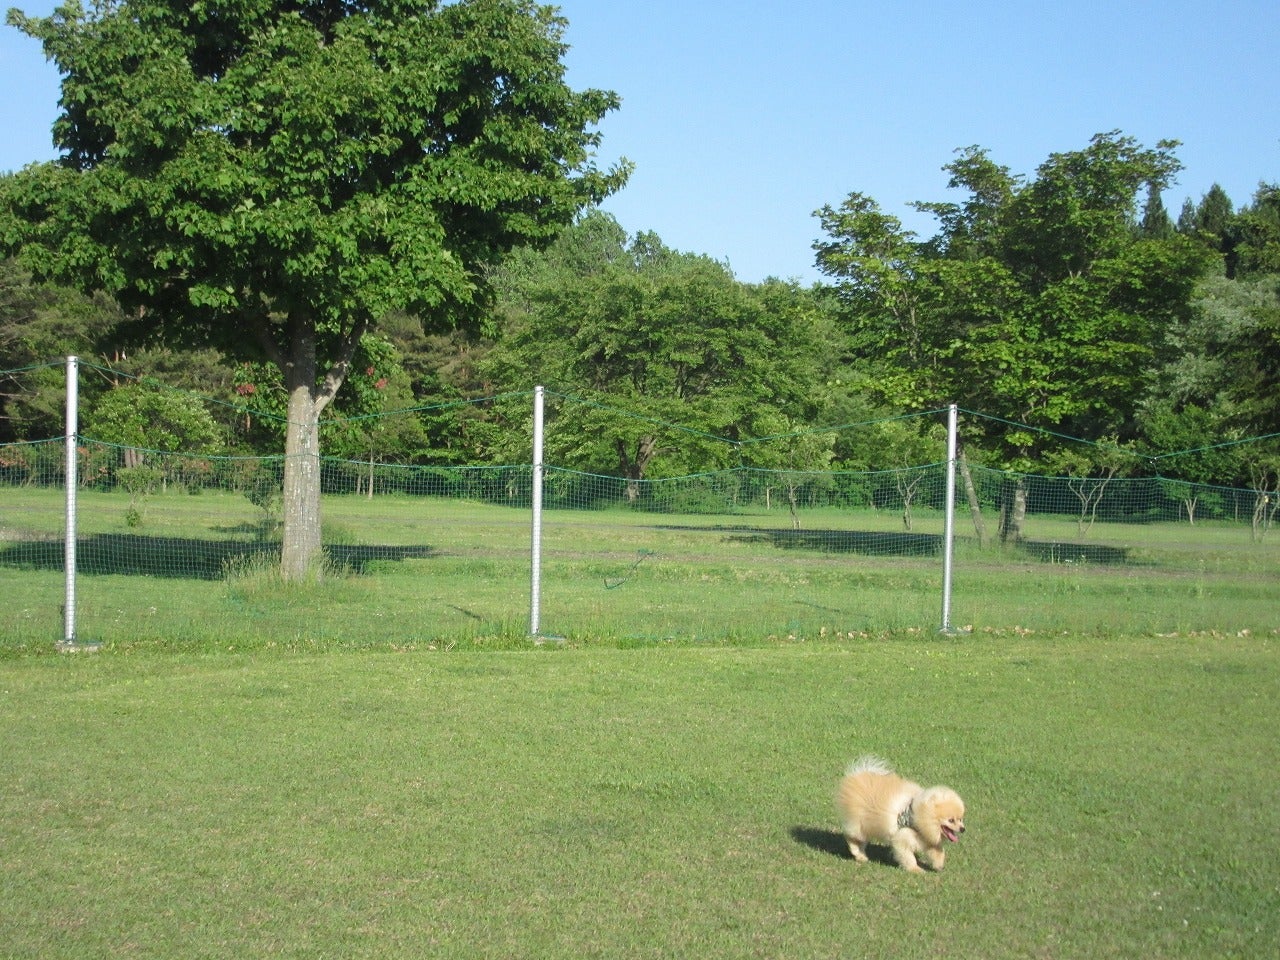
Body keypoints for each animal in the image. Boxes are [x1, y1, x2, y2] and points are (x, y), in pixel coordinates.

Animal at [834, 757, 962, 870]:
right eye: (951, 820)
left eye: (960, 819)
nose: (963, 829)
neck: (917, 816)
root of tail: (857, 776)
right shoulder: (902, 838)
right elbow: (907, 856)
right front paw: (915, 869)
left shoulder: (926, 839)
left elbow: (938, 852)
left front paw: (939, 865)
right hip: (859, 826)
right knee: (852, 837)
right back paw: (857, 853)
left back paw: (861, 856)